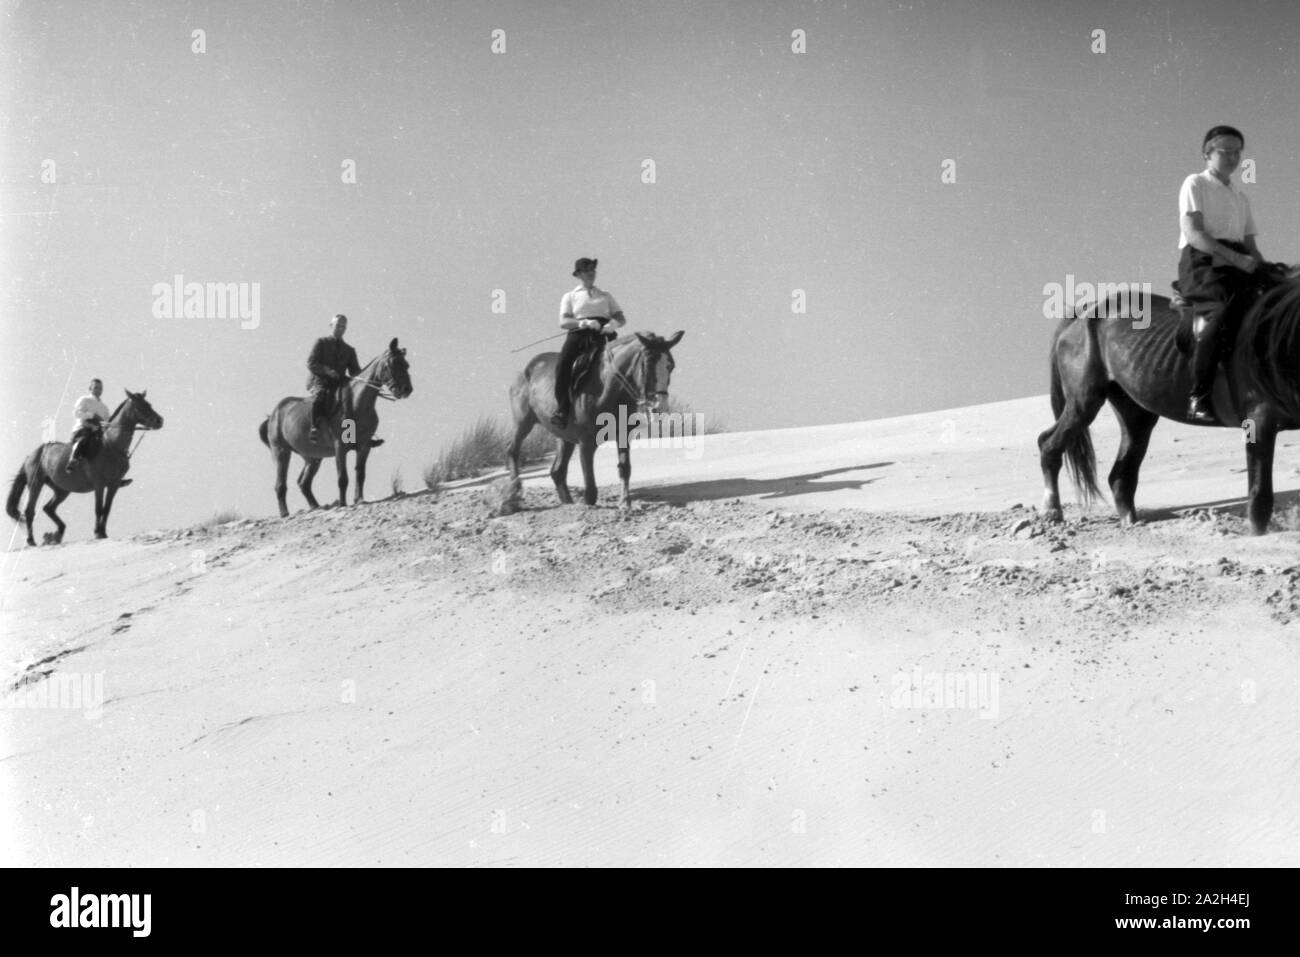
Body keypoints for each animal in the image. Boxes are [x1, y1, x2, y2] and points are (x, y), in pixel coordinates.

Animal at [6, 390, 163, 546]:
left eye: (149, 404)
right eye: (140, 407)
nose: (159, 421)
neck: (111, 446)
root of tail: (31, 455)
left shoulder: (114, 484)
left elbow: (107, 509)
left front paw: (103, 532)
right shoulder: (99, 484)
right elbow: (99, 508)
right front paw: (98, 533)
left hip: (62, 489)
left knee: (48, 508)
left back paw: (58, 533)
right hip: (36, 484)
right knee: (30, 511)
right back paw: (31, 540)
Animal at [257, 335, 410, 514]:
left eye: (406, 364)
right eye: (391, 363)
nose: (407, 389)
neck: (357, 404)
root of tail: (273, 415)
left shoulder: (364, 446)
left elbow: (360, 474)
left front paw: (359, 499)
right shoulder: (340, 447)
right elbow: (342, 477)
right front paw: (343, 503)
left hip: (312, 457)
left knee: (304, 483)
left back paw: (316, 507)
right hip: (281, 452)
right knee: (280, 485)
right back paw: (285, 513)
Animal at [506, 328, 686, 509]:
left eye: (671, 366)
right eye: (648, 364)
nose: (659, 406)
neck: (608, 388)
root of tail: (526, 370)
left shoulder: (623, 436)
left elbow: (624, 469)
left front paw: (625, 503)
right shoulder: (586, 442)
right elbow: (591, 489)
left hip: (564, 437)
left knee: (557, 471)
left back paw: (567, 502)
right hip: (523, 422)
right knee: (513, 450)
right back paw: (514, 491)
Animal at [1040, 276, 1300, 535]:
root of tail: (1083, 313)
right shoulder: (1260, 422)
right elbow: (1260, 497)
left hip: (1135, 415)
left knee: (1120, 476)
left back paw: (1130, 522)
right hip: (1084, 401)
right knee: (1049, 446)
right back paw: (1052, 511)